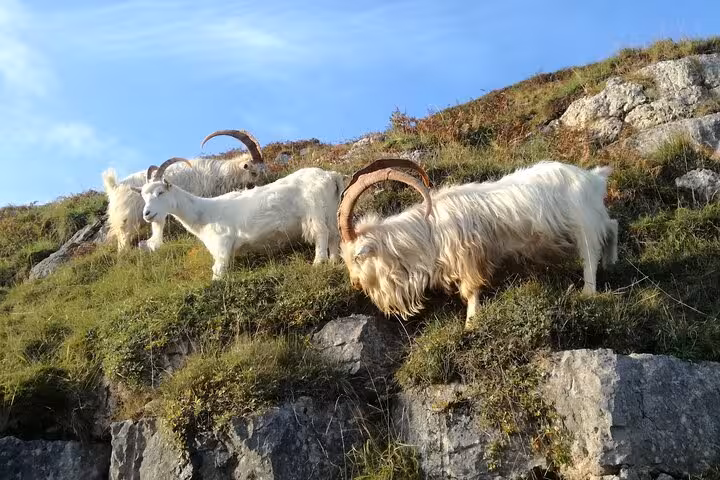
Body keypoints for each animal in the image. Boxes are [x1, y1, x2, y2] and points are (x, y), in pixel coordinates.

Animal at [137, 158, 346, 279]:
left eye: (160, 192)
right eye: (144, 196)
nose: (147, 214)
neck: (204, 213)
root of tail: (330, 176)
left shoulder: (222, 245)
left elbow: (218, 272)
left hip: (315, 210)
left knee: (322, 234)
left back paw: (319, 263)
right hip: (331, 210)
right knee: (335, 235)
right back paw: (334, 261)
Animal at [337, 159, 618, 329]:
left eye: (357, 257)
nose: (355, 283)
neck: (428, 231)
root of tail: (594, 178)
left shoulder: (468, 256)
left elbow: (471, 291)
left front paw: (470, 324)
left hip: (583, 223)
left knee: (590, 255)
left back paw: (588, 291)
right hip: (592, 219)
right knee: (612, 225)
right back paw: (611, 262)